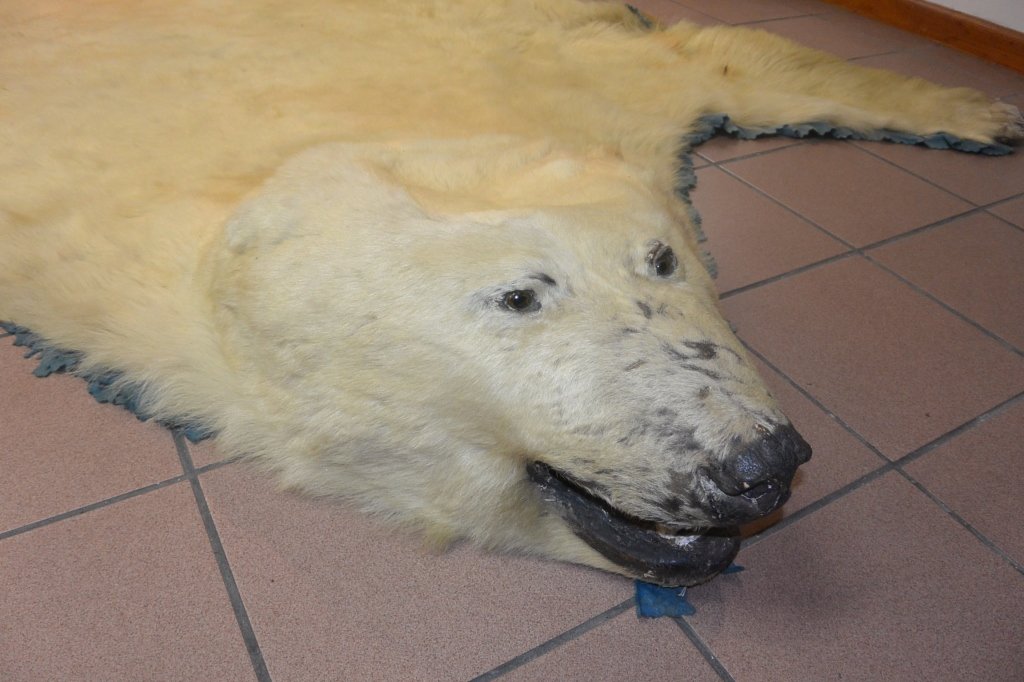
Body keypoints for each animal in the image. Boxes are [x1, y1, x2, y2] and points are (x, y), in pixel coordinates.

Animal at [1, 0, 1020, 586]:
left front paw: (979, 112)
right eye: (521, 297)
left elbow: (711, 58)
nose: (762, 463)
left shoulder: (564, 80)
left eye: (664, 259)